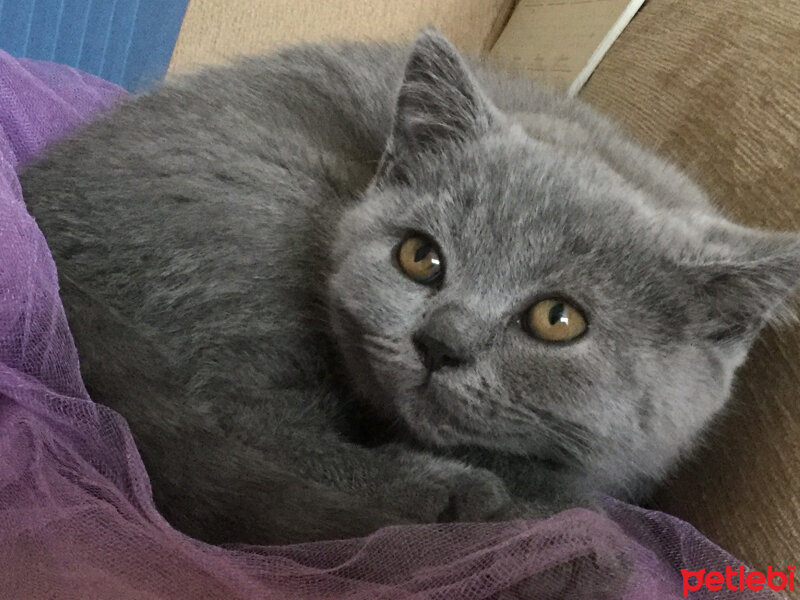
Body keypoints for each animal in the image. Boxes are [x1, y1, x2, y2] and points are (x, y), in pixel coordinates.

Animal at [18, 29, 800, 544]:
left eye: (558, 320)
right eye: (422, 258)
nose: (440, 340)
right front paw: (511, 490)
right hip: (261, 217)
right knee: (237, 411)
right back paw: (449, 491)